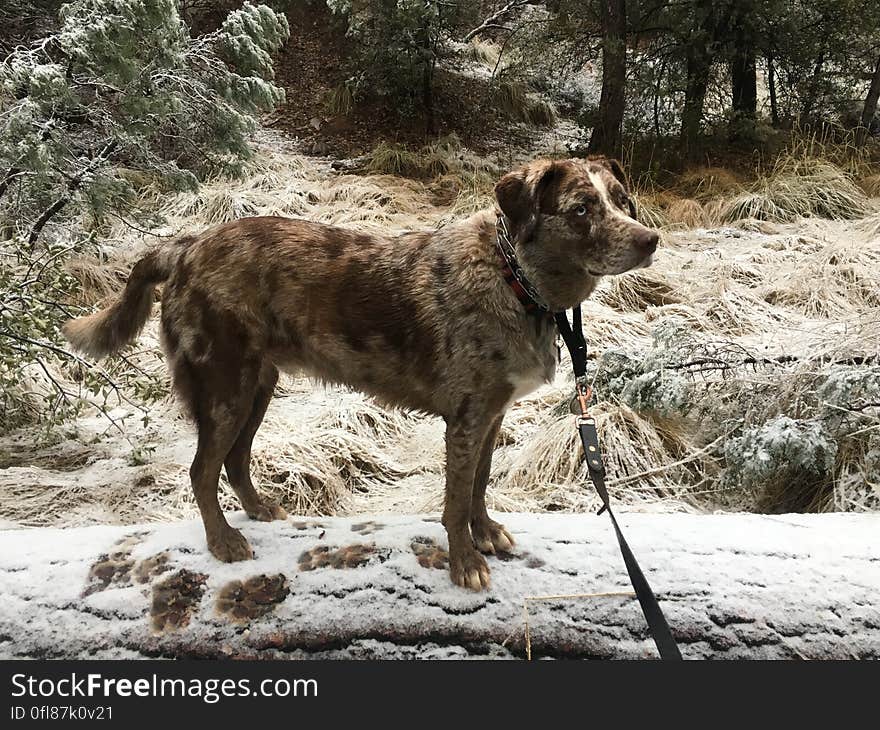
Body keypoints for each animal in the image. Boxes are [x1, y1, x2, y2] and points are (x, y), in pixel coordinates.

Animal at [67, 156, 660, 588]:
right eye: (581, 209)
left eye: (621, 201)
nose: (649, 239)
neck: (516, 281)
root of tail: (187, 247)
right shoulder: (466, 420)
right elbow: (453, 501)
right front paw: (464, 562)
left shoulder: (491, 415)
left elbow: (479, 486)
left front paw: (486, 533)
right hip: (224, 387)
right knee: (201, 470)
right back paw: (224, 542)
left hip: (257, 385)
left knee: (234, 462)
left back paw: (258, 510)